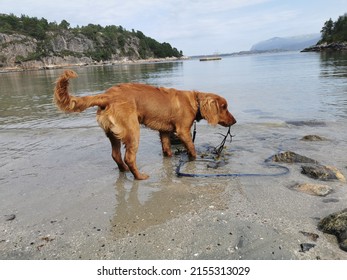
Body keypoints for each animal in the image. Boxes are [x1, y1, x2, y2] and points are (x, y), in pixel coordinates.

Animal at [54, 69, 238, 179]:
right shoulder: (183, 131)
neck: (194, 101)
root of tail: (106, 95)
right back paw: (139, 176)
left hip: (113, 133)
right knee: (129, 157)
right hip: (132, 130)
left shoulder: (164, 131)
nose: (235, 121)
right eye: (224, 107)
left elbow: (166, 149)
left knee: (116, 155)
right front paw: (193, 160)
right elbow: (191, 149)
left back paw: (124, 171)